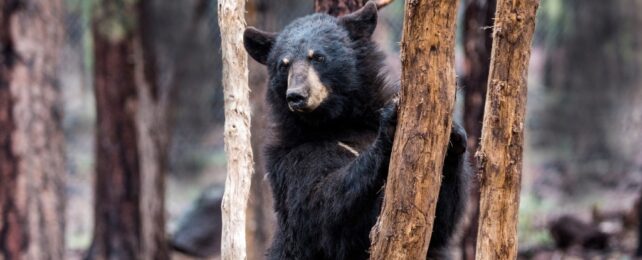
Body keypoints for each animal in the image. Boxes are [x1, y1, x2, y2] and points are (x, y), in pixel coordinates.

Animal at [242, 1, 468, 258]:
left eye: (318, 57)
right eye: (284, 64)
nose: (296, 96)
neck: (337, 121)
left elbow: (440, 221)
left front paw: (454, 136)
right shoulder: (289, 157)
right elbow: (318, 206)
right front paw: (389, 125)